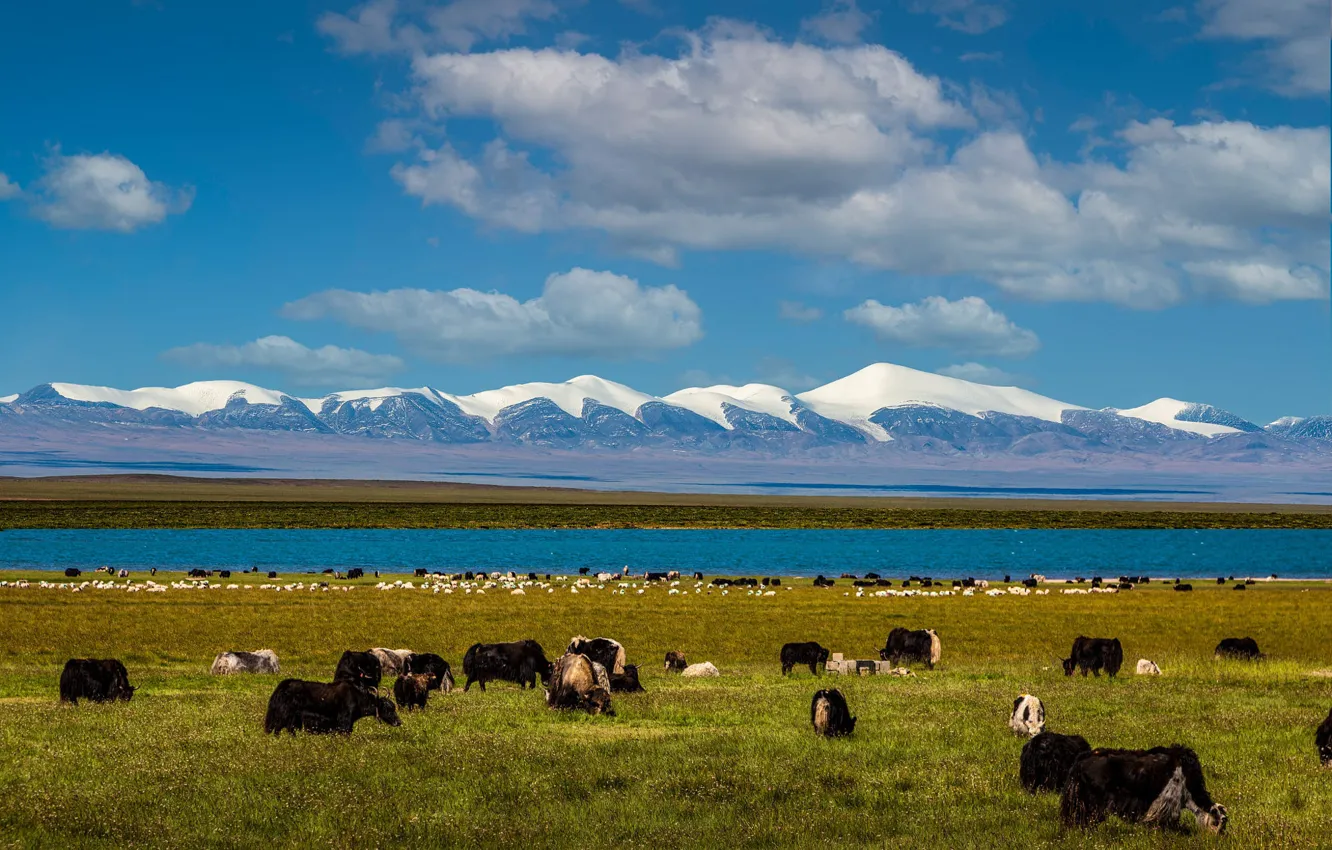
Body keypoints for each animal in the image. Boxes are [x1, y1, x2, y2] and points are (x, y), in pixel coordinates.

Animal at [263, 679, 401, 735]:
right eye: (388, 708)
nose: (398, 722)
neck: (357, 698)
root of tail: (281, 688)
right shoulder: (344, 722)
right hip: (284, 716)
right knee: (278, 730)